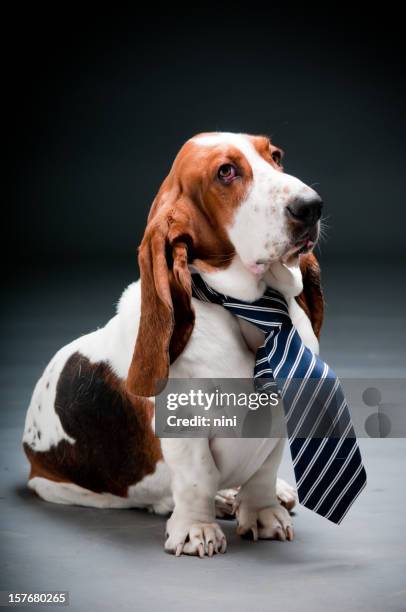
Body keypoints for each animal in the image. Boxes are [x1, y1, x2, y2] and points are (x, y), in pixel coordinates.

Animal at [24, 131, 324, 556]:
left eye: (276, 156)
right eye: (226, 172)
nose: (311, 206)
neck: (249, 310)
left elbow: (263, 473)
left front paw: (263, 513)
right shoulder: (185, 427)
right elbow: (199, 476)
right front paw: (197, 529)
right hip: (62, 487)